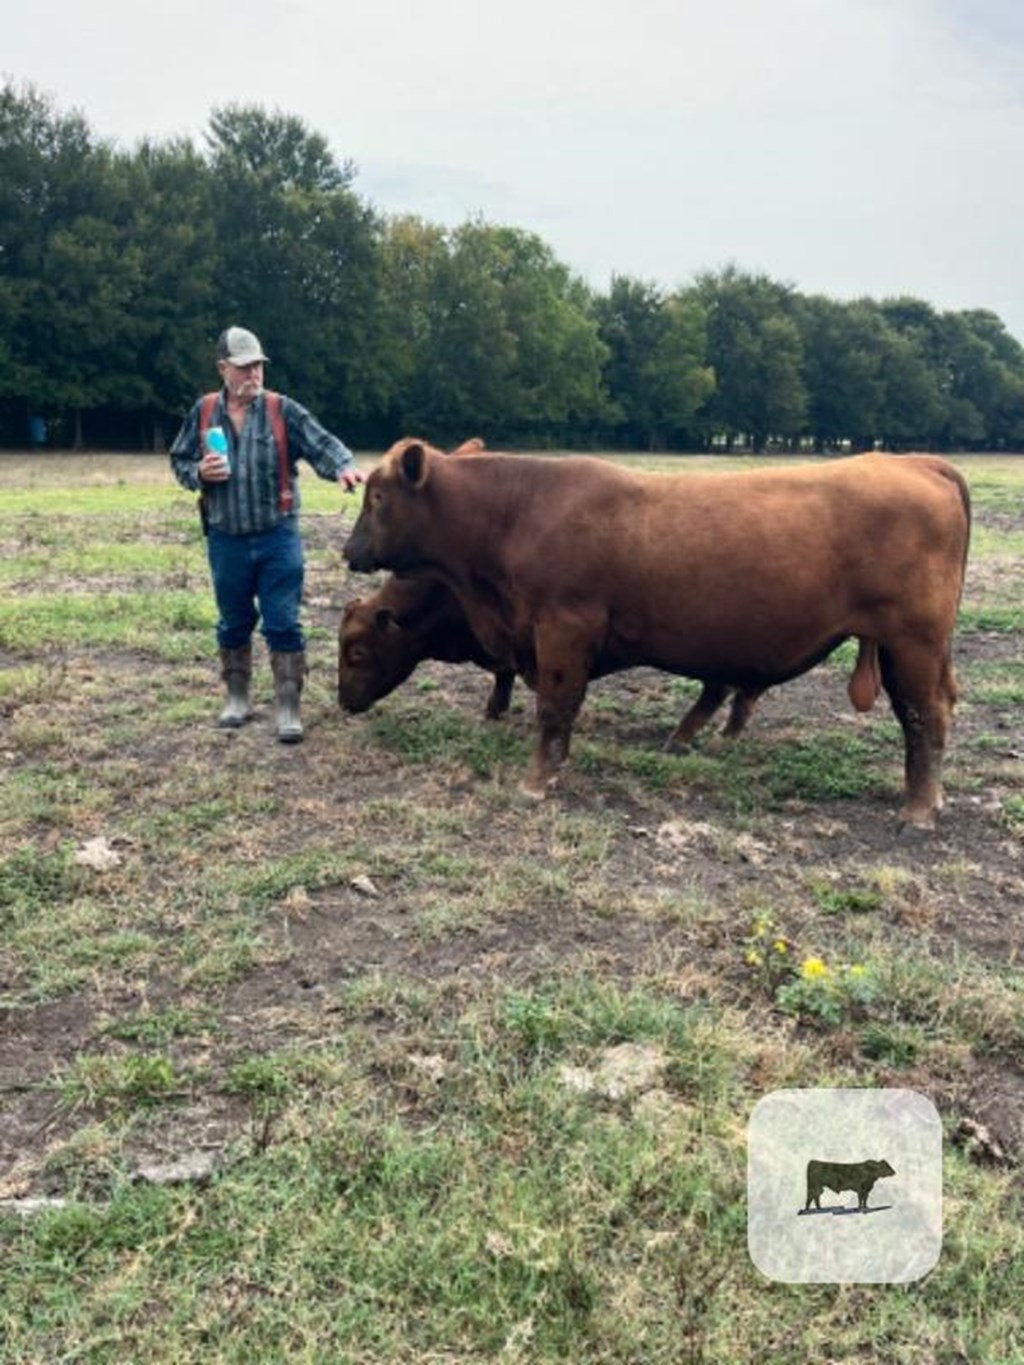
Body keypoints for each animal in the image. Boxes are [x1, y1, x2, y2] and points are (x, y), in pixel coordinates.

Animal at [345, 447, 972, 824]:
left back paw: (919, 808)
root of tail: (915, 462)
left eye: (377, 497)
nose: (350, 551)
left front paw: (537, 781)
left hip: (912, 641)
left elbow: (555, 708)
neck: (520, 509)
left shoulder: (562, 629)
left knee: (925, 714)